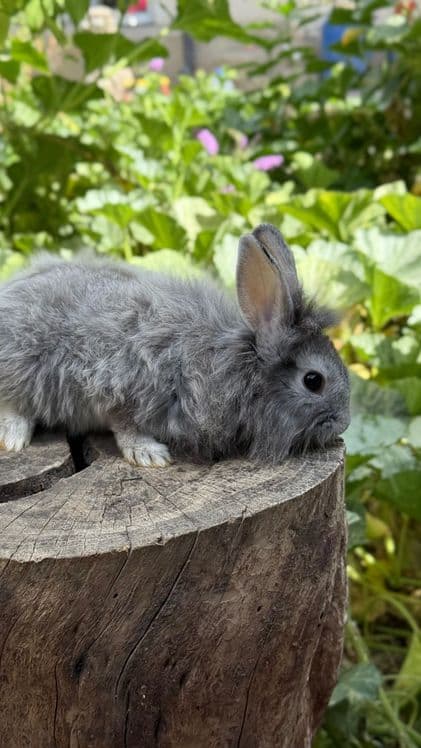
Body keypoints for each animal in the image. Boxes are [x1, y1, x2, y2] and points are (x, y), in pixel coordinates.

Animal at [0, 224, 350, 467]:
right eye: (313, 380)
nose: (344, 422)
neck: (232, 364)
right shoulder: (120, 387)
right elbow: (125, 426)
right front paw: (151, 455)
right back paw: (14, 438)